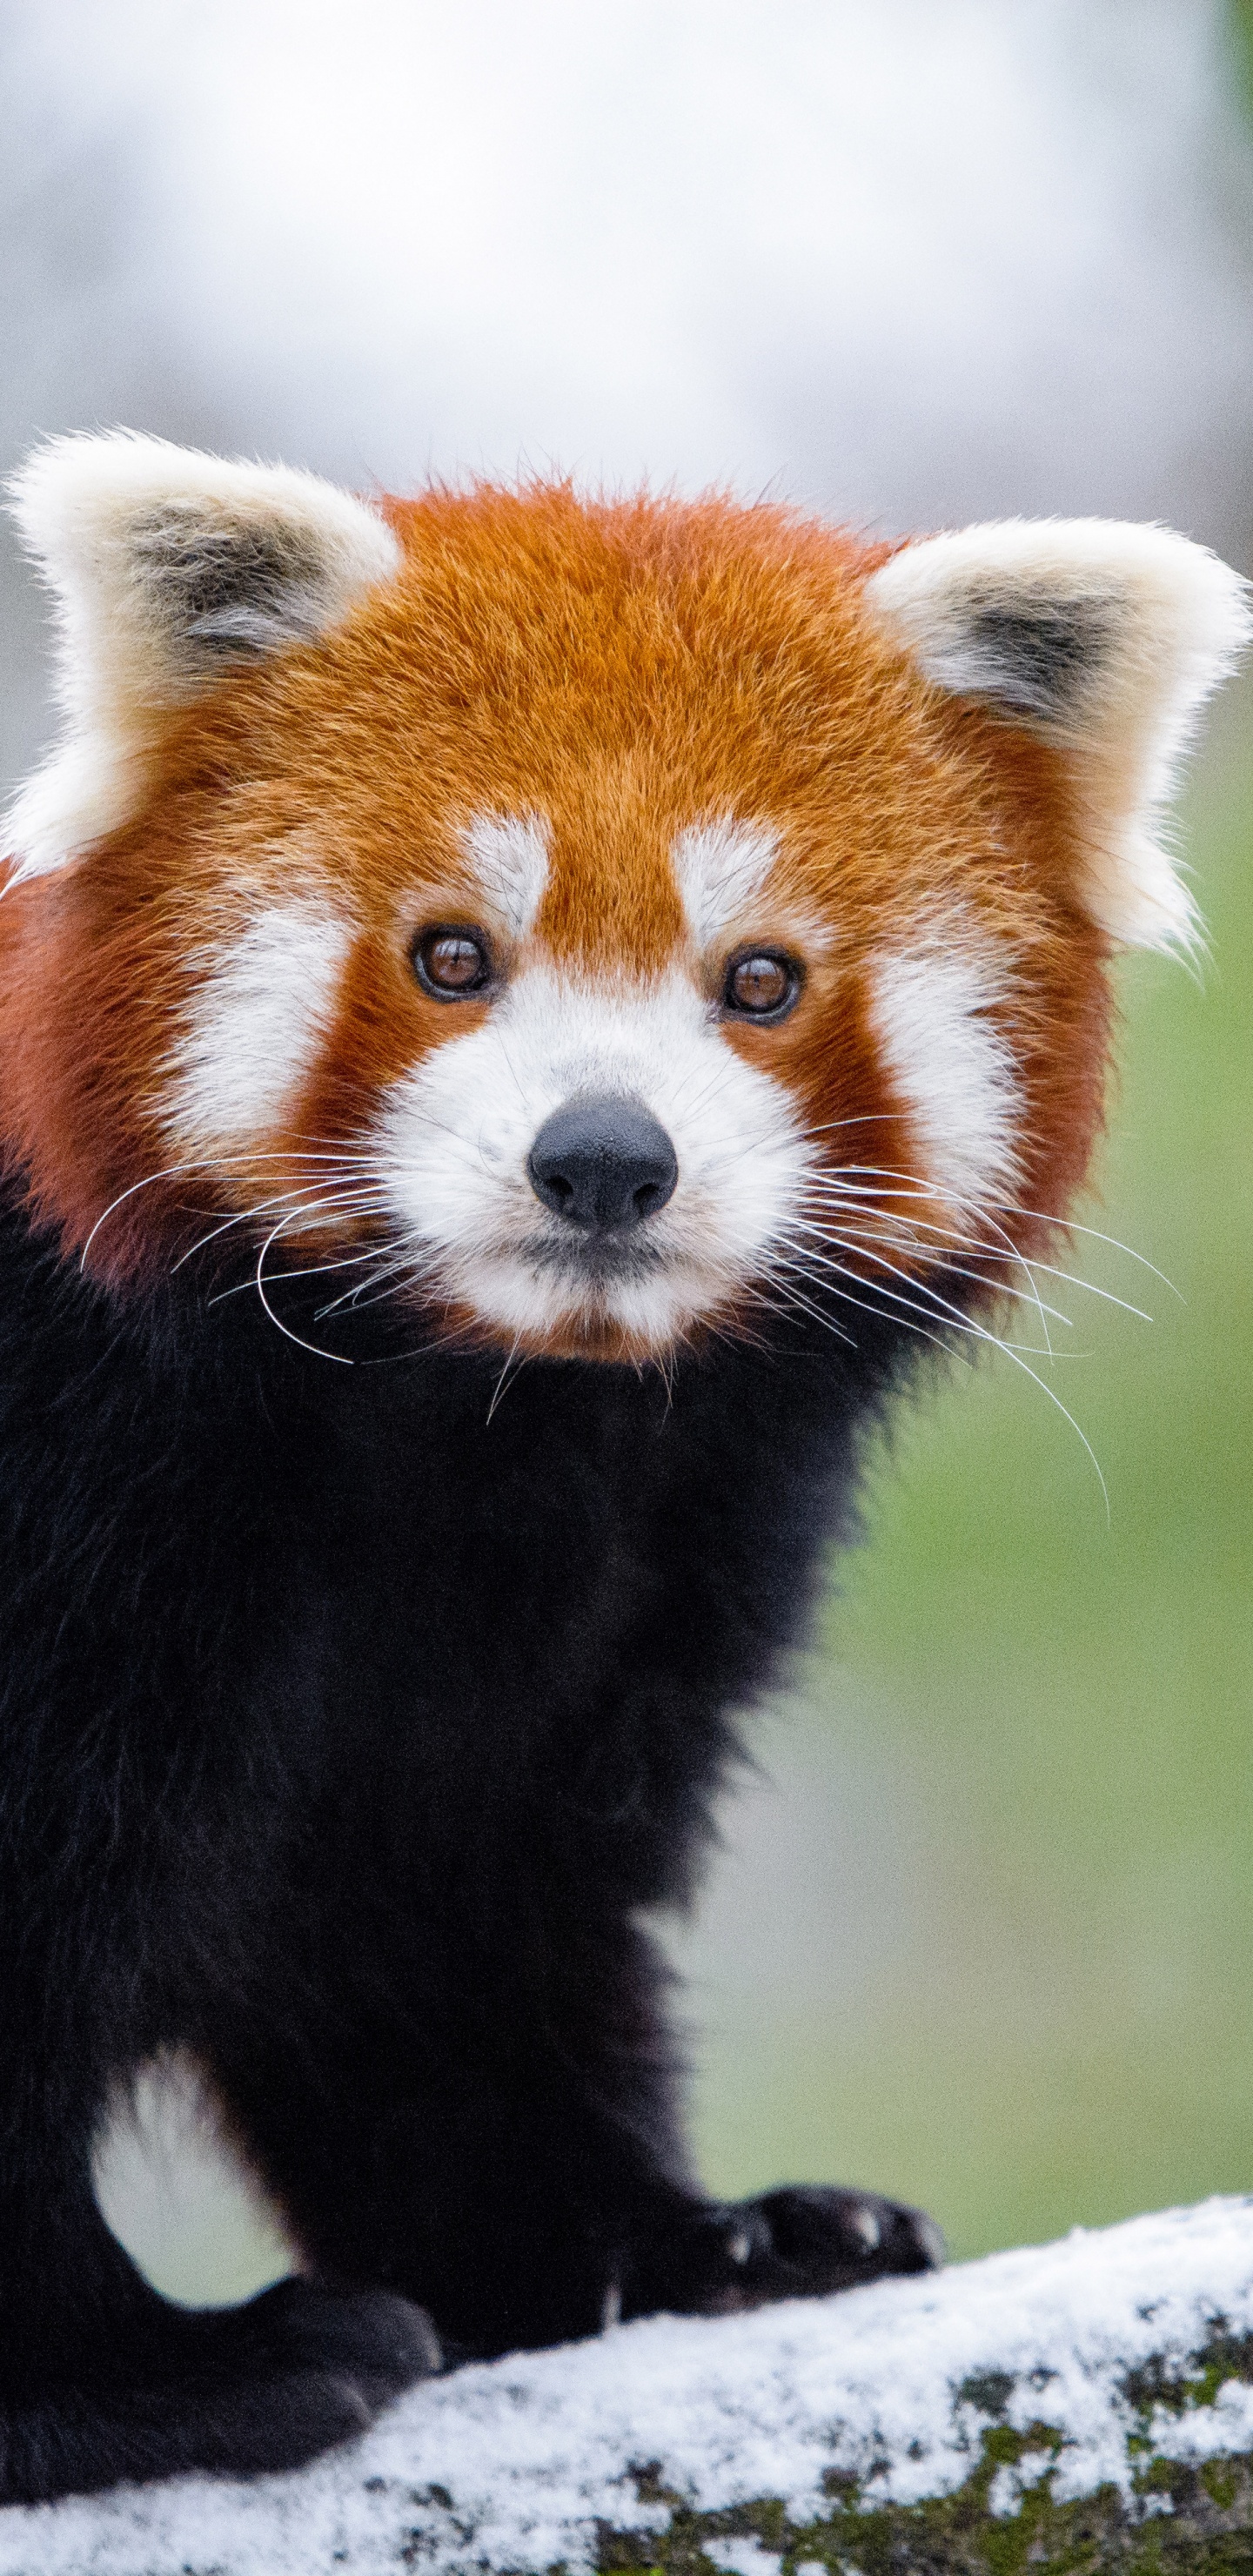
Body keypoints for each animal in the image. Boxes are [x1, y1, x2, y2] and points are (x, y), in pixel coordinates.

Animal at [0, 433, 1243, 2504]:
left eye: (761, 980)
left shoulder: (631, 1565)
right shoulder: (88, 1480)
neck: (486, 1425)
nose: (602, 1159)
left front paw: (675, 2246)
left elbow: (442, 1920)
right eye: (451, 956)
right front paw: (136, 2380)